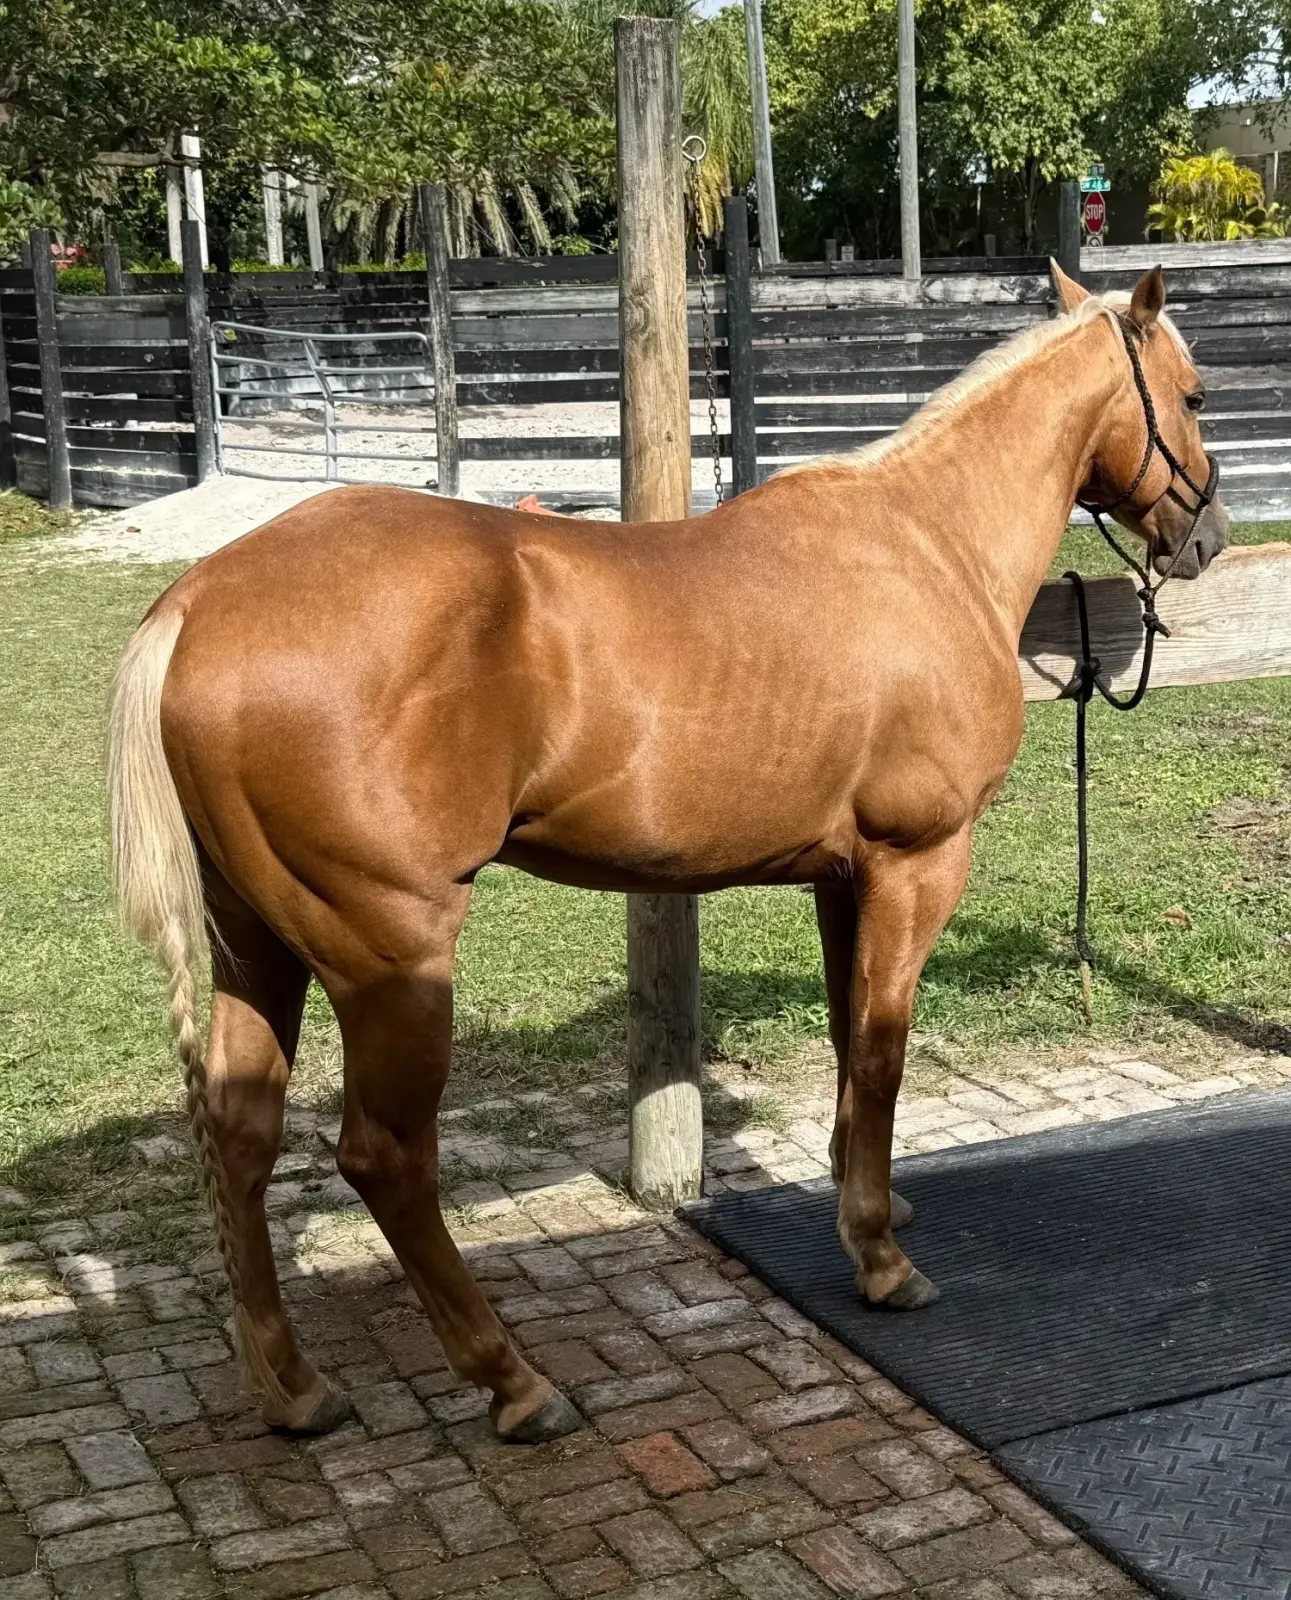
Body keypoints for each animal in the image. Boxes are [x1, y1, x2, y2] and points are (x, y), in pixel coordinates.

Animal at [108, 263, 1228, 1441]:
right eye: (1193, 397)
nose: (1205, 535)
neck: (927, 544)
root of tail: (199, 602)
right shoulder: (915, 862)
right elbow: (881, 1050)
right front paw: (880, 1259)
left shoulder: (845, 878)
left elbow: (850, 1040)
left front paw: (863, 1203)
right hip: (389, 955)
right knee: (384, 1156)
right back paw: (512, 1381)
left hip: (256, 943)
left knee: (240, 1135)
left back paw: (293, 1387)